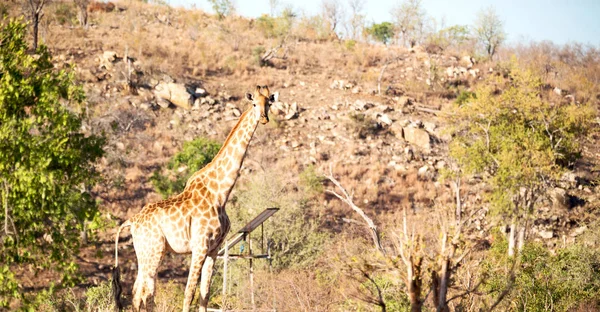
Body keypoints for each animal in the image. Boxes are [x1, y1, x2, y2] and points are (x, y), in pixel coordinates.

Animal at [112, 86, 278, 312]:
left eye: (268, 103)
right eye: (254, 104)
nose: (264, 118)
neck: (220, 193)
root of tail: (131, 222)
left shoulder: (214, 250)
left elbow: (204, 294)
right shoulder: (199, 246)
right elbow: (189, 292)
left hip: (145, 253)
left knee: (141, 291)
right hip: (153, 251)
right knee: (143, 293)